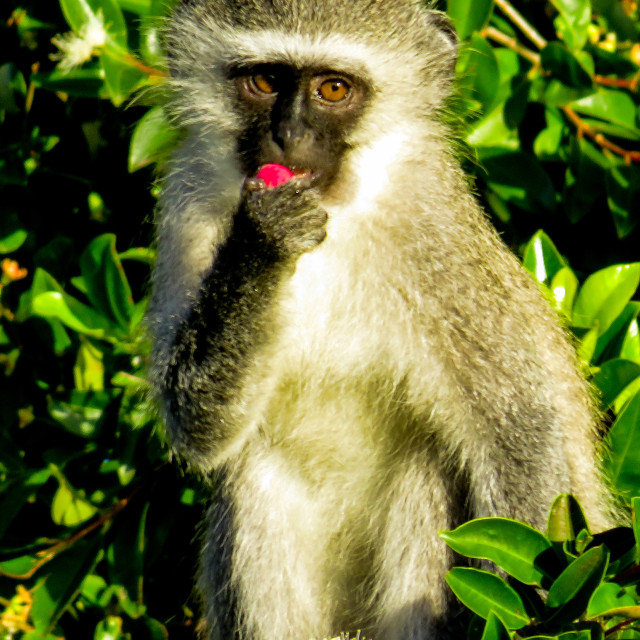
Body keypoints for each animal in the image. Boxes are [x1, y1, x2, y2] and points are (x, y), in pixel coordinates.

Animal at [148, 2, 612, 636]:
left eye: (334, 89)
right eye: (265, 81)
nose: (288, 136)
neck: (333, 215)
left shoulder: (432, 227)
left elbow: (519, 425)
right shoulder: (188, 195)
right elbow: (195, 420)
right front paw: (262, 239)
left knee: (427, 467)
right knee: (252, 473)